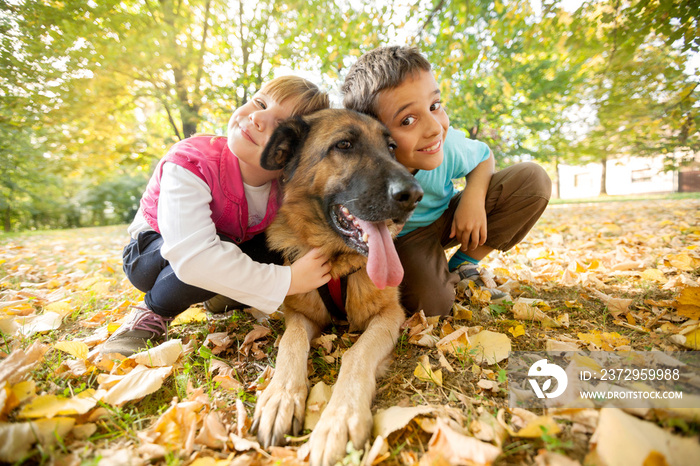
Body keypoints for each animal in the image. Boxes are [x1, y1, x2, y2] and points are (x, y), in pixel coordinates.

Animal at [254, 110, 424, 466]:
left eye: (391, 147)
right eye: (344, 145)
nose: (415, 195)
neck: (337, 264)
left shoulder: (390, 314)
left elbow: (356, 354)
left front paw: (339, 420)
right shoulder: (298, 315)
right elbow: (290, 344)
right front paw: (280, 398)